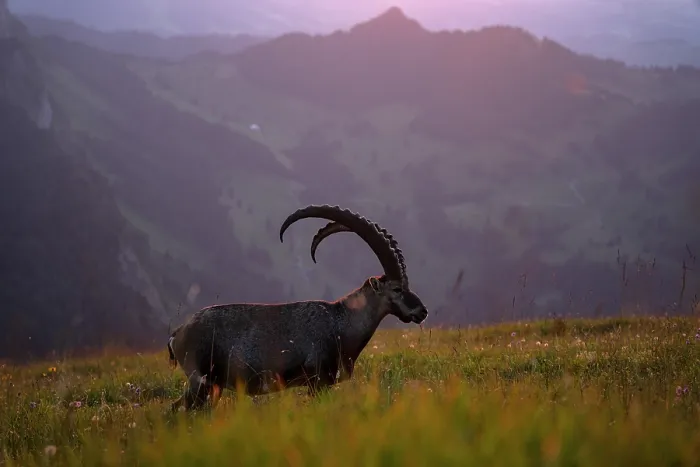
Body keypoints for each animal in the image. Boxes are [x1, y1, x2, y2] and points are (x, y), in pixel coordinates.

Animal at [167, 204, 428, 412]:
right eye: (397, 289)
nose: (422, 312)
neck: (341, 322)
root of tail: (177, 333)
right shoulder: (317, 380)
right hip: (200, 380)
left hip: (213, 387)